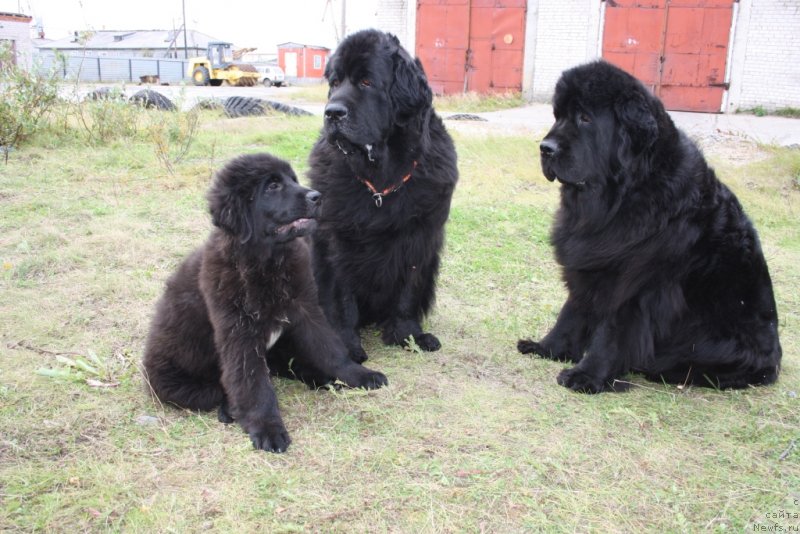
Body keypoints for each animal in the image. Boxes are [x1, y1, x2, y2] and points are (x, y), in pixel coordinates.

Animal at [143, 154, 388, 452]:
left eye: (293, 180)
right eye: (272, 186)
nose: (317, 197)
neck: (267, 261)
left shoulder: (306, 309)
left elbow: (330, 349)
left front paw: (358, 375)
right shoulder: (239, 332)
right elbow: (253, 383)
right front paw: (267, 427)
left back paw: (321, 378)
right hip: (181, 385)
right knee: (222, 389)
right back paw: (231, 410)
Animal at [306, 29, 456, 364]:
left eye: (366, 82)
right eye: (335, 82)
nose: (332, 112)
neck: (380, 183)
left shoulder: (419, 236)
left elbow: (408, 291)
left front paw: (408, 335)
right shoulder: (337, 239)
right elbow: (342, 297)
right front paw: (348, 346)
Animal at [520, 62, 780, 396]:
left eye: (585, 118)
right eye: (558, 116)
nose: (545, 148)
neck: (624, 195)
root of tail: (774, 364)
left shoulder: (637, 282)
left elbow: (613, 332)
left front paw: (587, 376)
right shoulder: (592, 265)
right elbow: (573, 310)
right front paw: (547, 347)